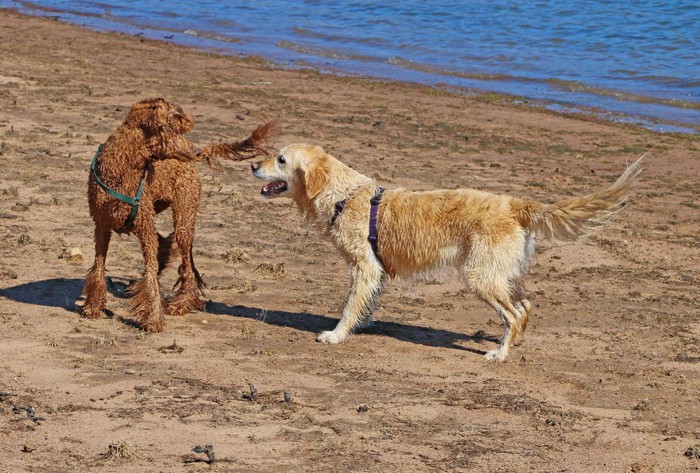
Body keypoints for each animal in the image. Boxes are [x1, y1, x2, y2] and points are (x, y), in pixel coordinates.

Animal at [82, 97, 274, 330]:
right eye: (169, 130)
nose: (197, 150)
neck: (122, 169)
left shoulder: (144, 228)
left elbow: (151, 273)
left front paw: (153, 318)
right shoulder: (102, 227)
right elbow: (99, 266)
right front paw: (93, 306)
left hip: (184, 216)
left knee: (187, 266)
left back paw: (181, 304)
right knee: (165, 245)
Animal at [249, 145, 644, 362]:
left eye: (280, 159)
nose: (253, 165)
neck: (345, 195)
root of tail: (517, 204)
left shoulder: (364, 266)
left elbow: (349, 306)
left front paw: (336, 334)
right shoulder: (376, 270)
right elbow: (367, 302)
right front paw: (364, 323)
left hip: (480, 276)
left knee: (514, 314)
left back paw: (500, 354)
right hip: (504, 274)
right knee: (525, 308)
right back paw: (513, 342)